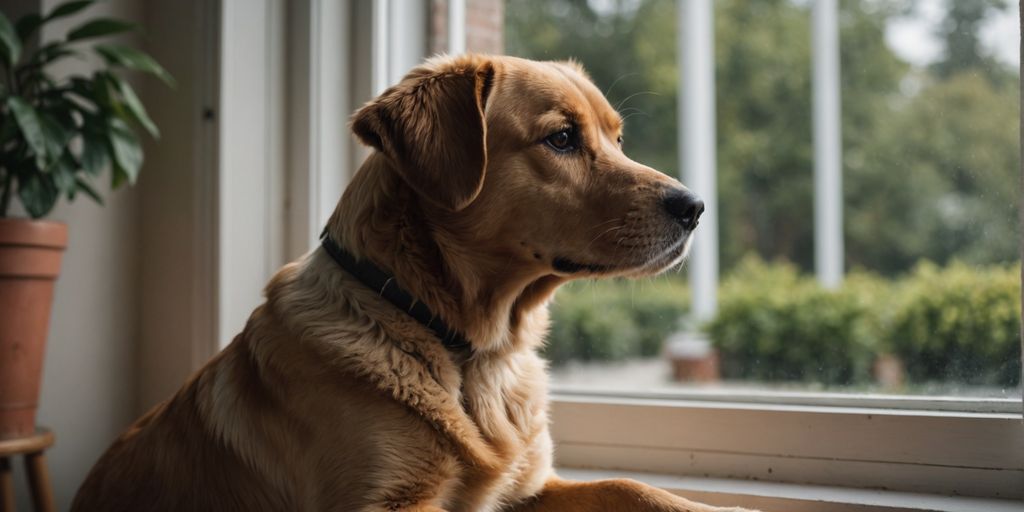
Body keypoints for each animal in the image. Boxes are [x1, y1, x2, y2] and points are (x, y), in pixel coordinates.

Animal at [72, 55, 753, 512]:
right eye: (561, 138)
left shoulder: (529, 488)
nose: (694, 207)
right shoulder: (386, 502)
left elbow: (634, 486)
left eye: (616, 138)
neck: (471, 348)